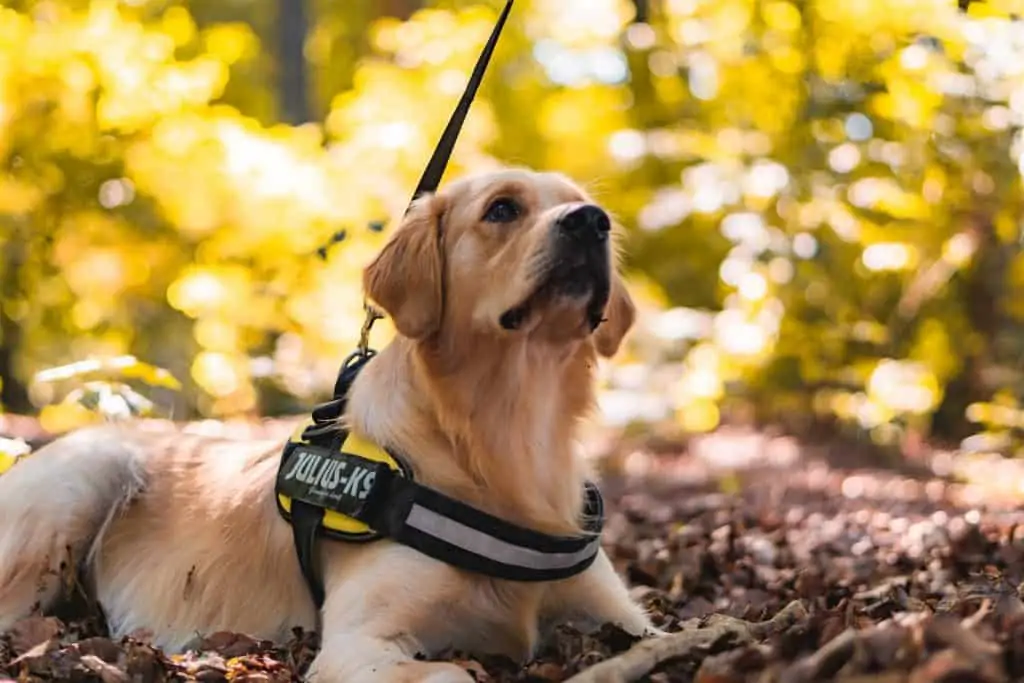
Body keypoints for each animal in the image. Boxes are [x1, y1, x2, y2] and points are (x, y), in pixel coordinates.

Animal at [0, 167, 655, 679]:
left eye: (584, 204)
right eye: (502, 209)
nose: (592, 221)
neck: (508, 437)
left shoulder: (622, 614)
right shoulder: (357, 645)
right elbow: (451, 673)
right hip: (80, 480)